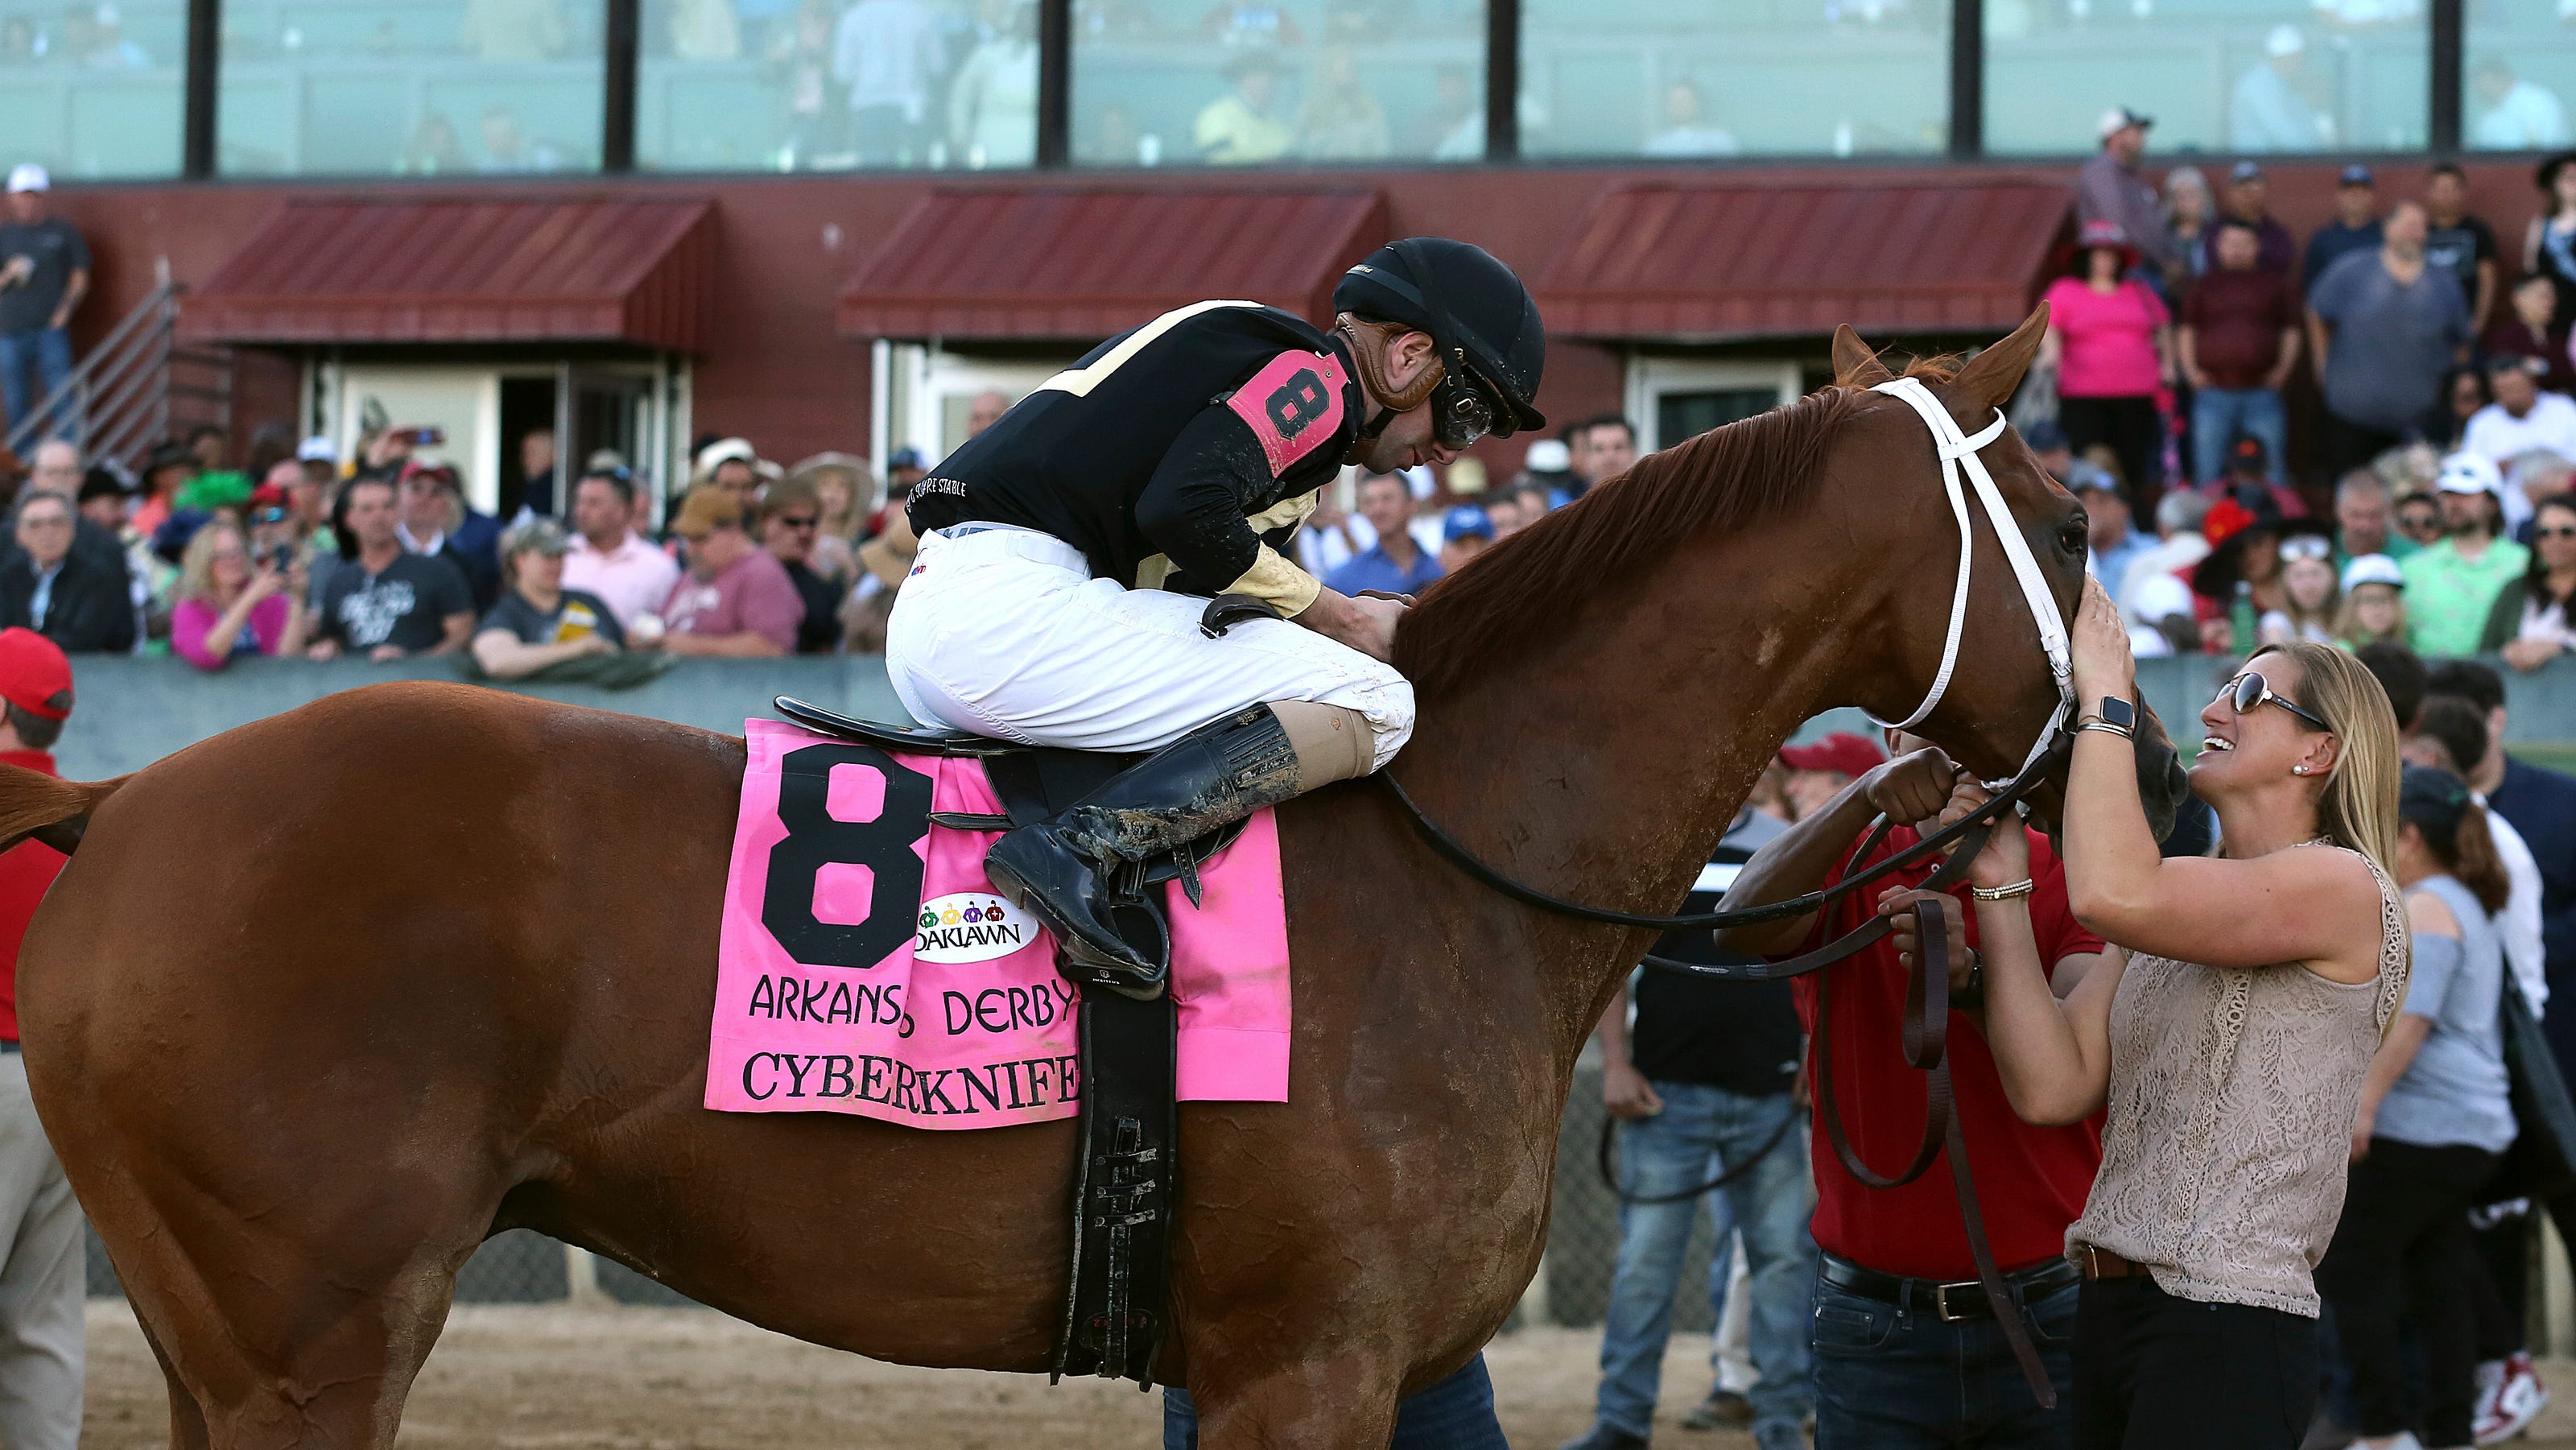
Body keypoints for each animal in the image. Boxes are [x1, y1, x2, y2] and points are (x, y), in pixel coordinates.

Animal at [10, 312, 2102, 1442]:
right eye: (2070, 516)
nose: (2130, 764)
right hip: (313, 1338)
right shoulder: (1303, 1366)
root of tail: (120, 798)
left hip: (228, 1340)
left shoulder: (1376, 1361)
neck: (1462, 856)